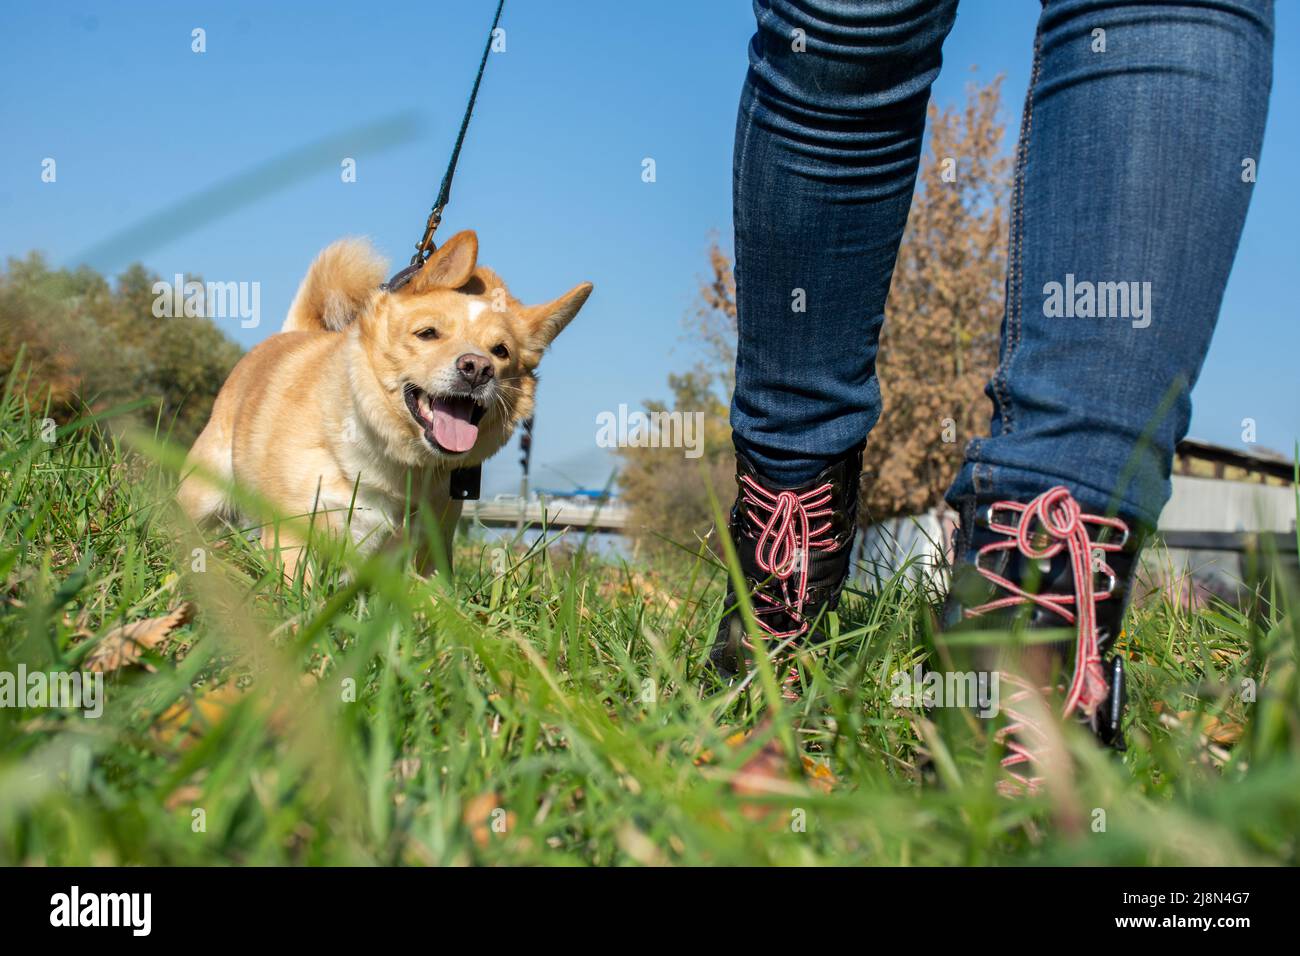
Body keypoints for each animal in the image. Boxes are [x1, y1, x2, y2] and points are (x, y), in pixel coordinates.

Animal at [175, 231, 592, 574]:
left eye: (501, 351)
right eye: (428, 333)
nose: (477, 368)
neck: (398, 465)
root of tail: (292, 333)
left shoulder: (425, 554)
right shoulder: (294, 536)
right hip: (203, 495)